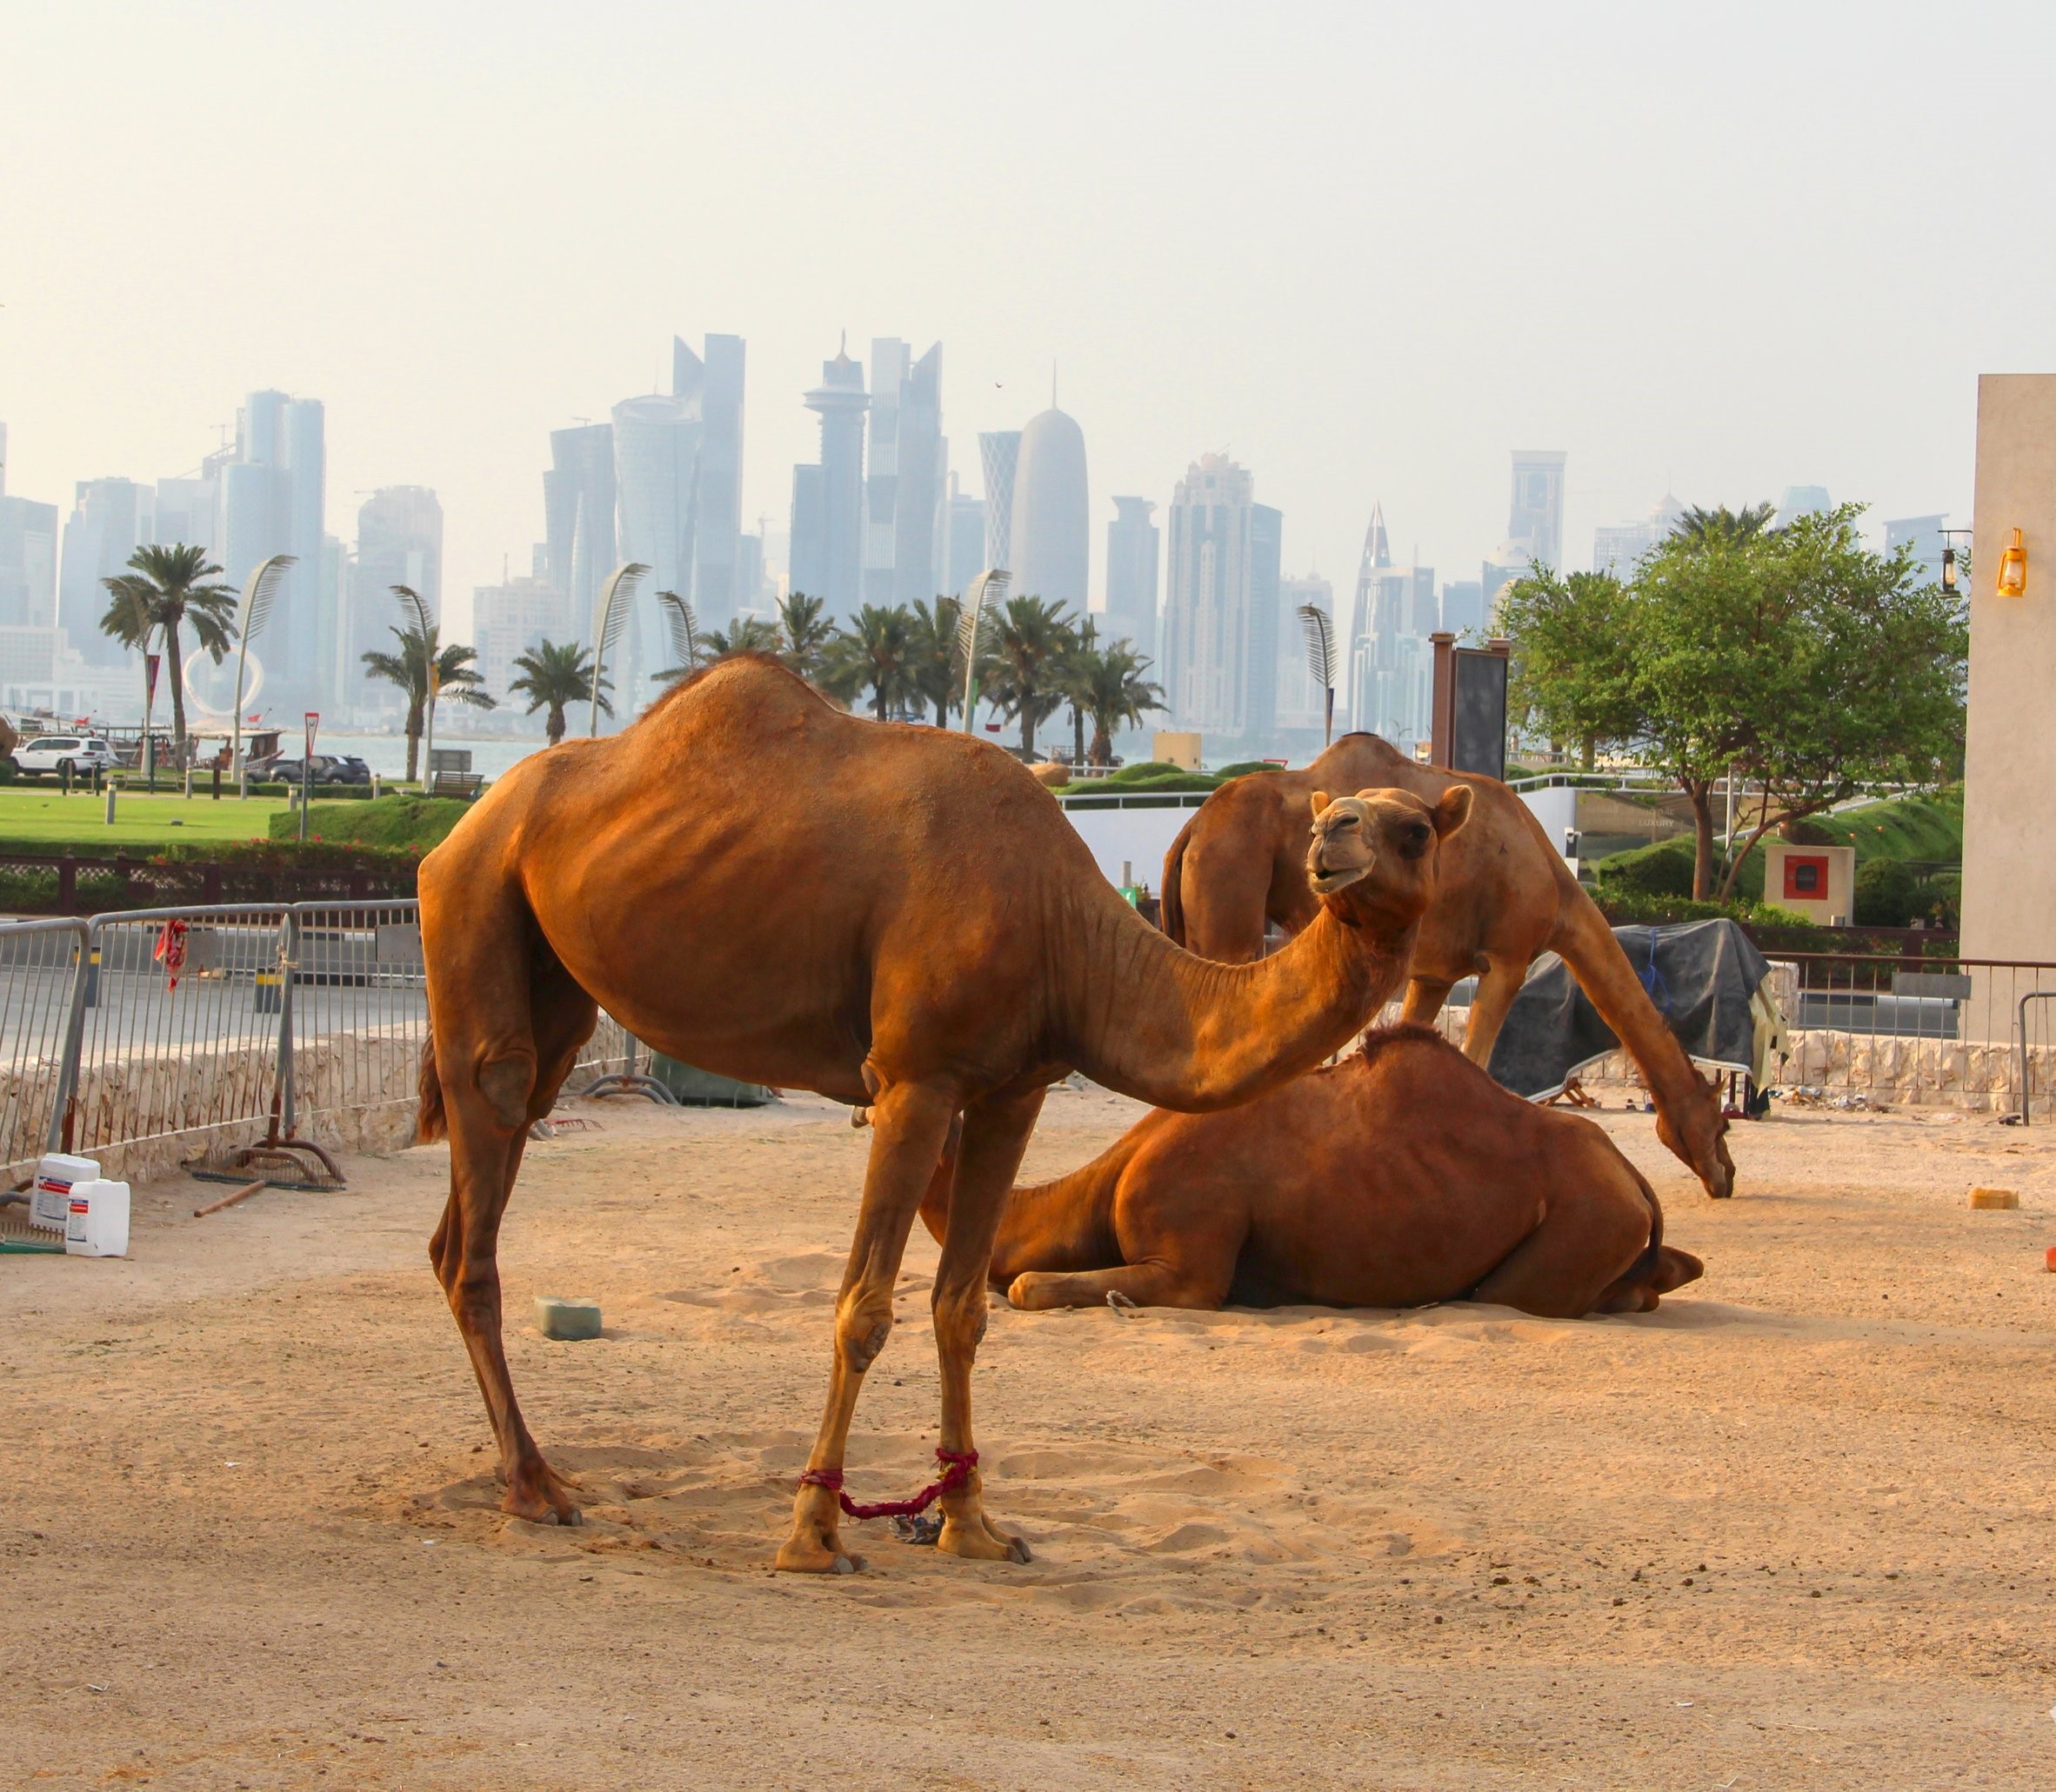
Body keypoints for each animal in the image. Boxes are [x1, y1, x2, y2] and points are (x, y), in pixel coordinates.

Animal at [413, 654, 1472, 1574]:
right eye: (1341, 816)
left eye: (1415, 829)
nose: (1333, 843)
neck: (1066, 928)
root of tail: (461, 828)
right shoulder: (914, 1078)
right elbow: (863, 1307)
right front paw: (814, 1536)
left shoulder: (1013, 1087)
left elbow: (962, 1307)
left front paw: (973, 1525)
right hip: (474, 901)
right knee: (486, 1150)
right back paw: (536, 1486)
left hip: (555, 984)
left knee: (470, 1198)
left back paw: (531, 1475)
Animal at [917, 1024, 1703, 1318]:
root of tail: (1632, 1178)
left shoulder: (1187, 1255)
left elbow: (1027, 1282)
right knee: (1662, 1272)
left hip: (1585, 1218)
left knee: (1509, 1293)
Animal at [1161, 734, 1735, 1200]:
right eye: (1721, 1124)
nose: (1724, 1176)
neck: (1556, 884)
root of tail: (1190, 830)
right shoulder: (1508, 956)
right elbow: (1476, 1060)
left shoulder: (1433, 974)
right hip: (1231, 890)